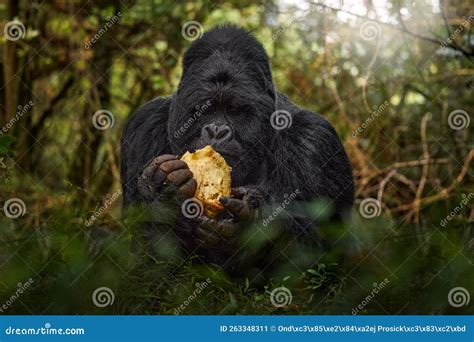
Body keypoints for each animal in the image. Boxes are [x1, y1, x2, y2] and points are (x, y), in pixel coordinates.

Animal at [120, 24, 354, 276]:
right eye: (205, 109)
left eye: (234, 110)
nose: (216, 131)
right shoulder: (144, 125)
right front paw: (160, 189)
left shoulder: (315, 141)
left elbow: (320, 257)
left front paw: (250, 224)